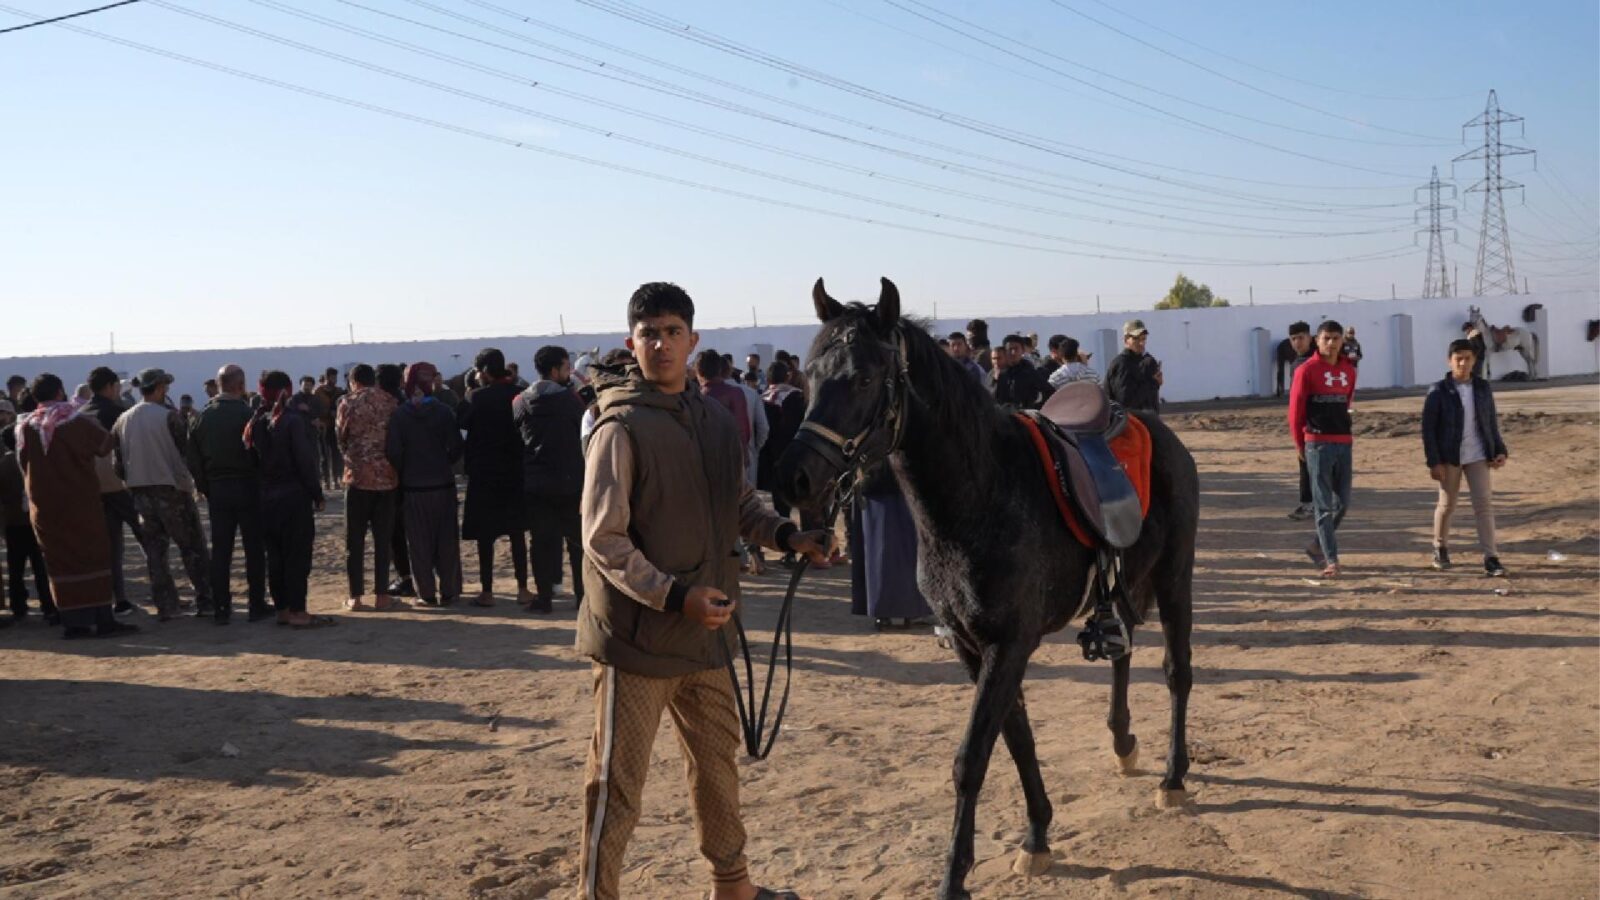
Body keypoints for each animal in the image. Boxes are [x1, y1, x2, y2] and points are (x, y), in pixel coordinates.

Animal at [774, 277, 1203, 890]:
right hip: (1123, 584)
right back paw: (1123, 743)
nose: (795, 477)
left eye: (863, 377)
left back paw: (1173, 777)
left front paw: (954, 876)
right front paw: (1038, 835)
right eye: (809, 374)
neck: (982, 493)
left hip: (1174, 577)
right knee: (1122, 651)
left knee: (1176, 672)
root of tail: (1154, 425)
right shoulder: (972, 645)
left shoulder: (1009, 644)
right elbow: (1016, 737)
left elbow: (972, 756)